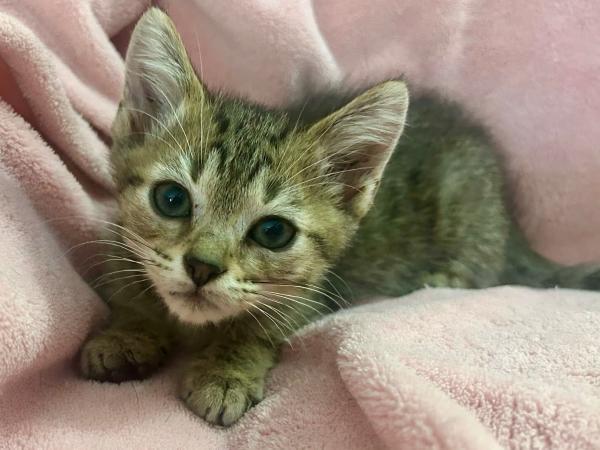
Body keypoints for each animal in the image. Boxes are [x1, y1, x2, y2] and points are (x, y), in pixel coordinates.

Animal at [79, 8, 600, 428]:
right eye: (171, 199)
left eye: (273, 232)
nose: (202, 268)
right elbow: (134, 295)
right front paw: (127, 332)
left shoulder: (307, 298)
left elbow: (257, 327)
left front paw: (225, 370)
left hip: (465, 201)